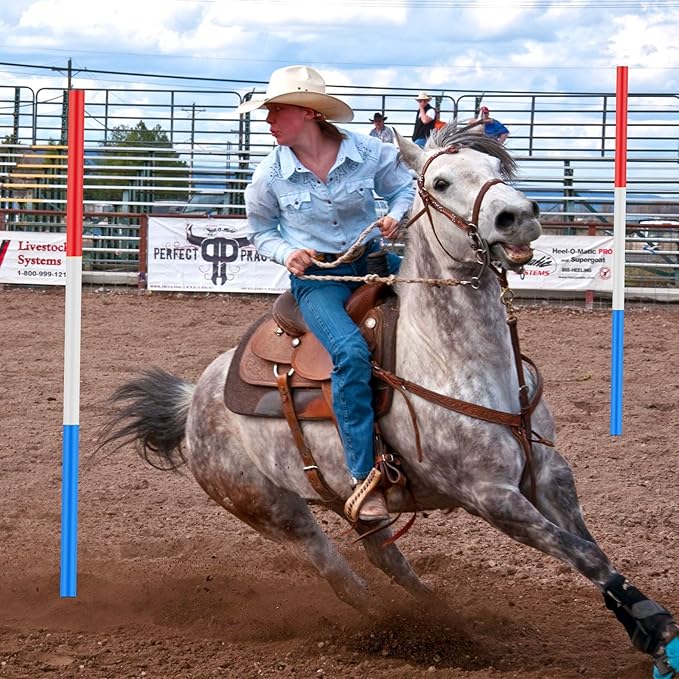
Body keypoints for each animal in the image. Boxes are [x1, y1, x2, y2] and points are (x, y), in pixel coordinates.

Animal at [100, 125, 678, 677]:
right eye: (440, 183)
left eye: (496, 169)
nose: (515, 216)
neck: (455, 359)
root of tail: (192, 399)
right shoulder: (489, 496)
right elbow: (580, 552)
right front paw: (655, 628)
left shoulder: (548, 472)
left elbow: (591, 548)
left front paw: (642, 626)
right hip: (273, 511)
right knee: (339, 573)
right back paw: (401, 630)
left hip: (347, 499)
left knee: (386, 560)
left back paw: (443, 619)